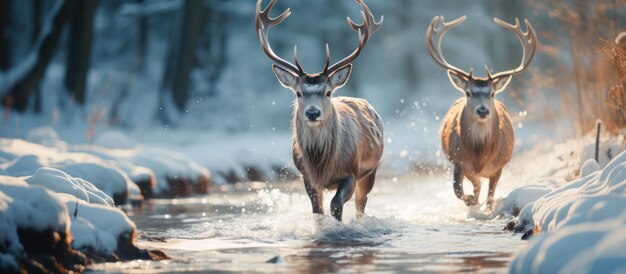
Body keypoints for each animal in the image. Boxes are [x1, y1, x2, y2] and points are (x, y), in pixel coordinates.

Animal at [252, 0, 380, 220]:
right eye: (298, 93)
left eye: (328, 92)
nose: (312, 113)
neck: (320, 162)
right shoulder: (306, 175)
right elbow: (317, 210)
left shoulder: (351, 171)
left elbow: (336, 204)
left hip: (371, 171)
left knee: (361, 203)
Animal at [424, 15, 536, 210]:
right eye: (468, 93)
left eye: (492, 93)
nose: (482, 111)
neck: (480, 156)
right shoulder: (459, 162)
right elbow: (459, 189)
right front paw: (471, 201)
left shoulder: (499, 167)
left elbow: (490, 196)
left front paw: (486, 208)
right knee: (473, 186)